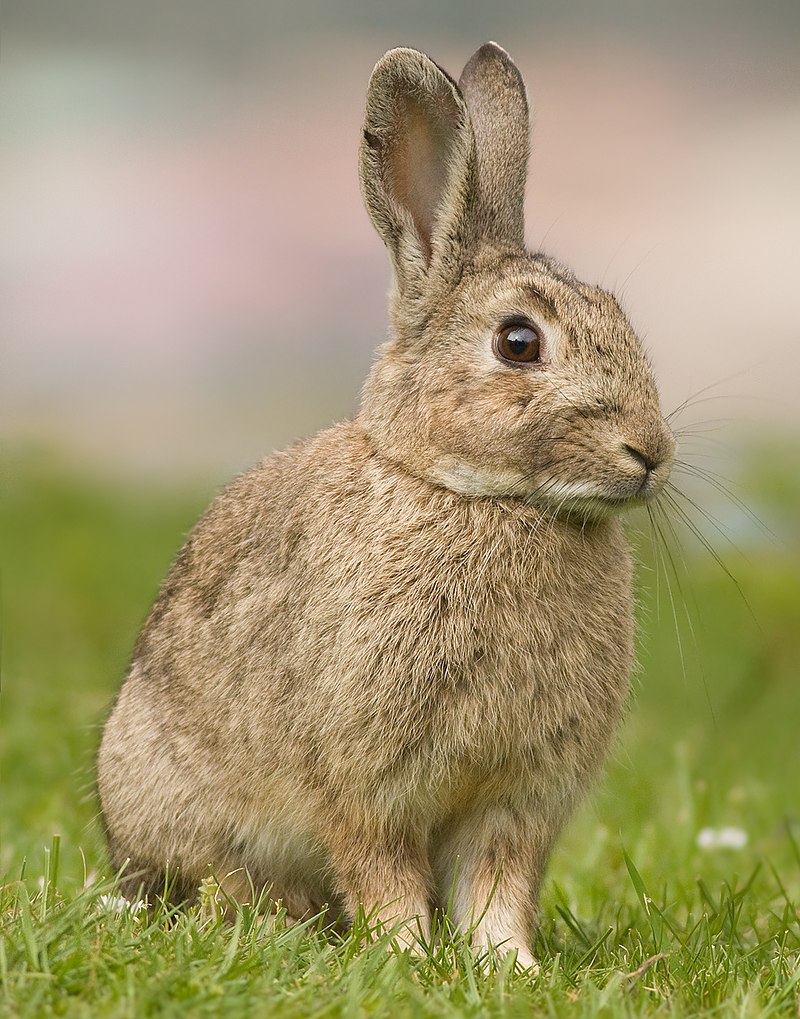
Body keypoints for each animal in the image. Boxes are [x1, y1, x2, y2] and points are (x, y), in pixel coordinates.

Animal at [96, 43, 676, 970]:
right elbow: (382, 869)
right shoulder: (365, 781)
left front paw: (508, 966)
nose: (650, 453)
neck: (480, 496)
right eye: (519, 342)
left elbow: (498, 883)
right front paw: (405, 954)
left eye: (619, 316)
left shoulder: (518, 797)